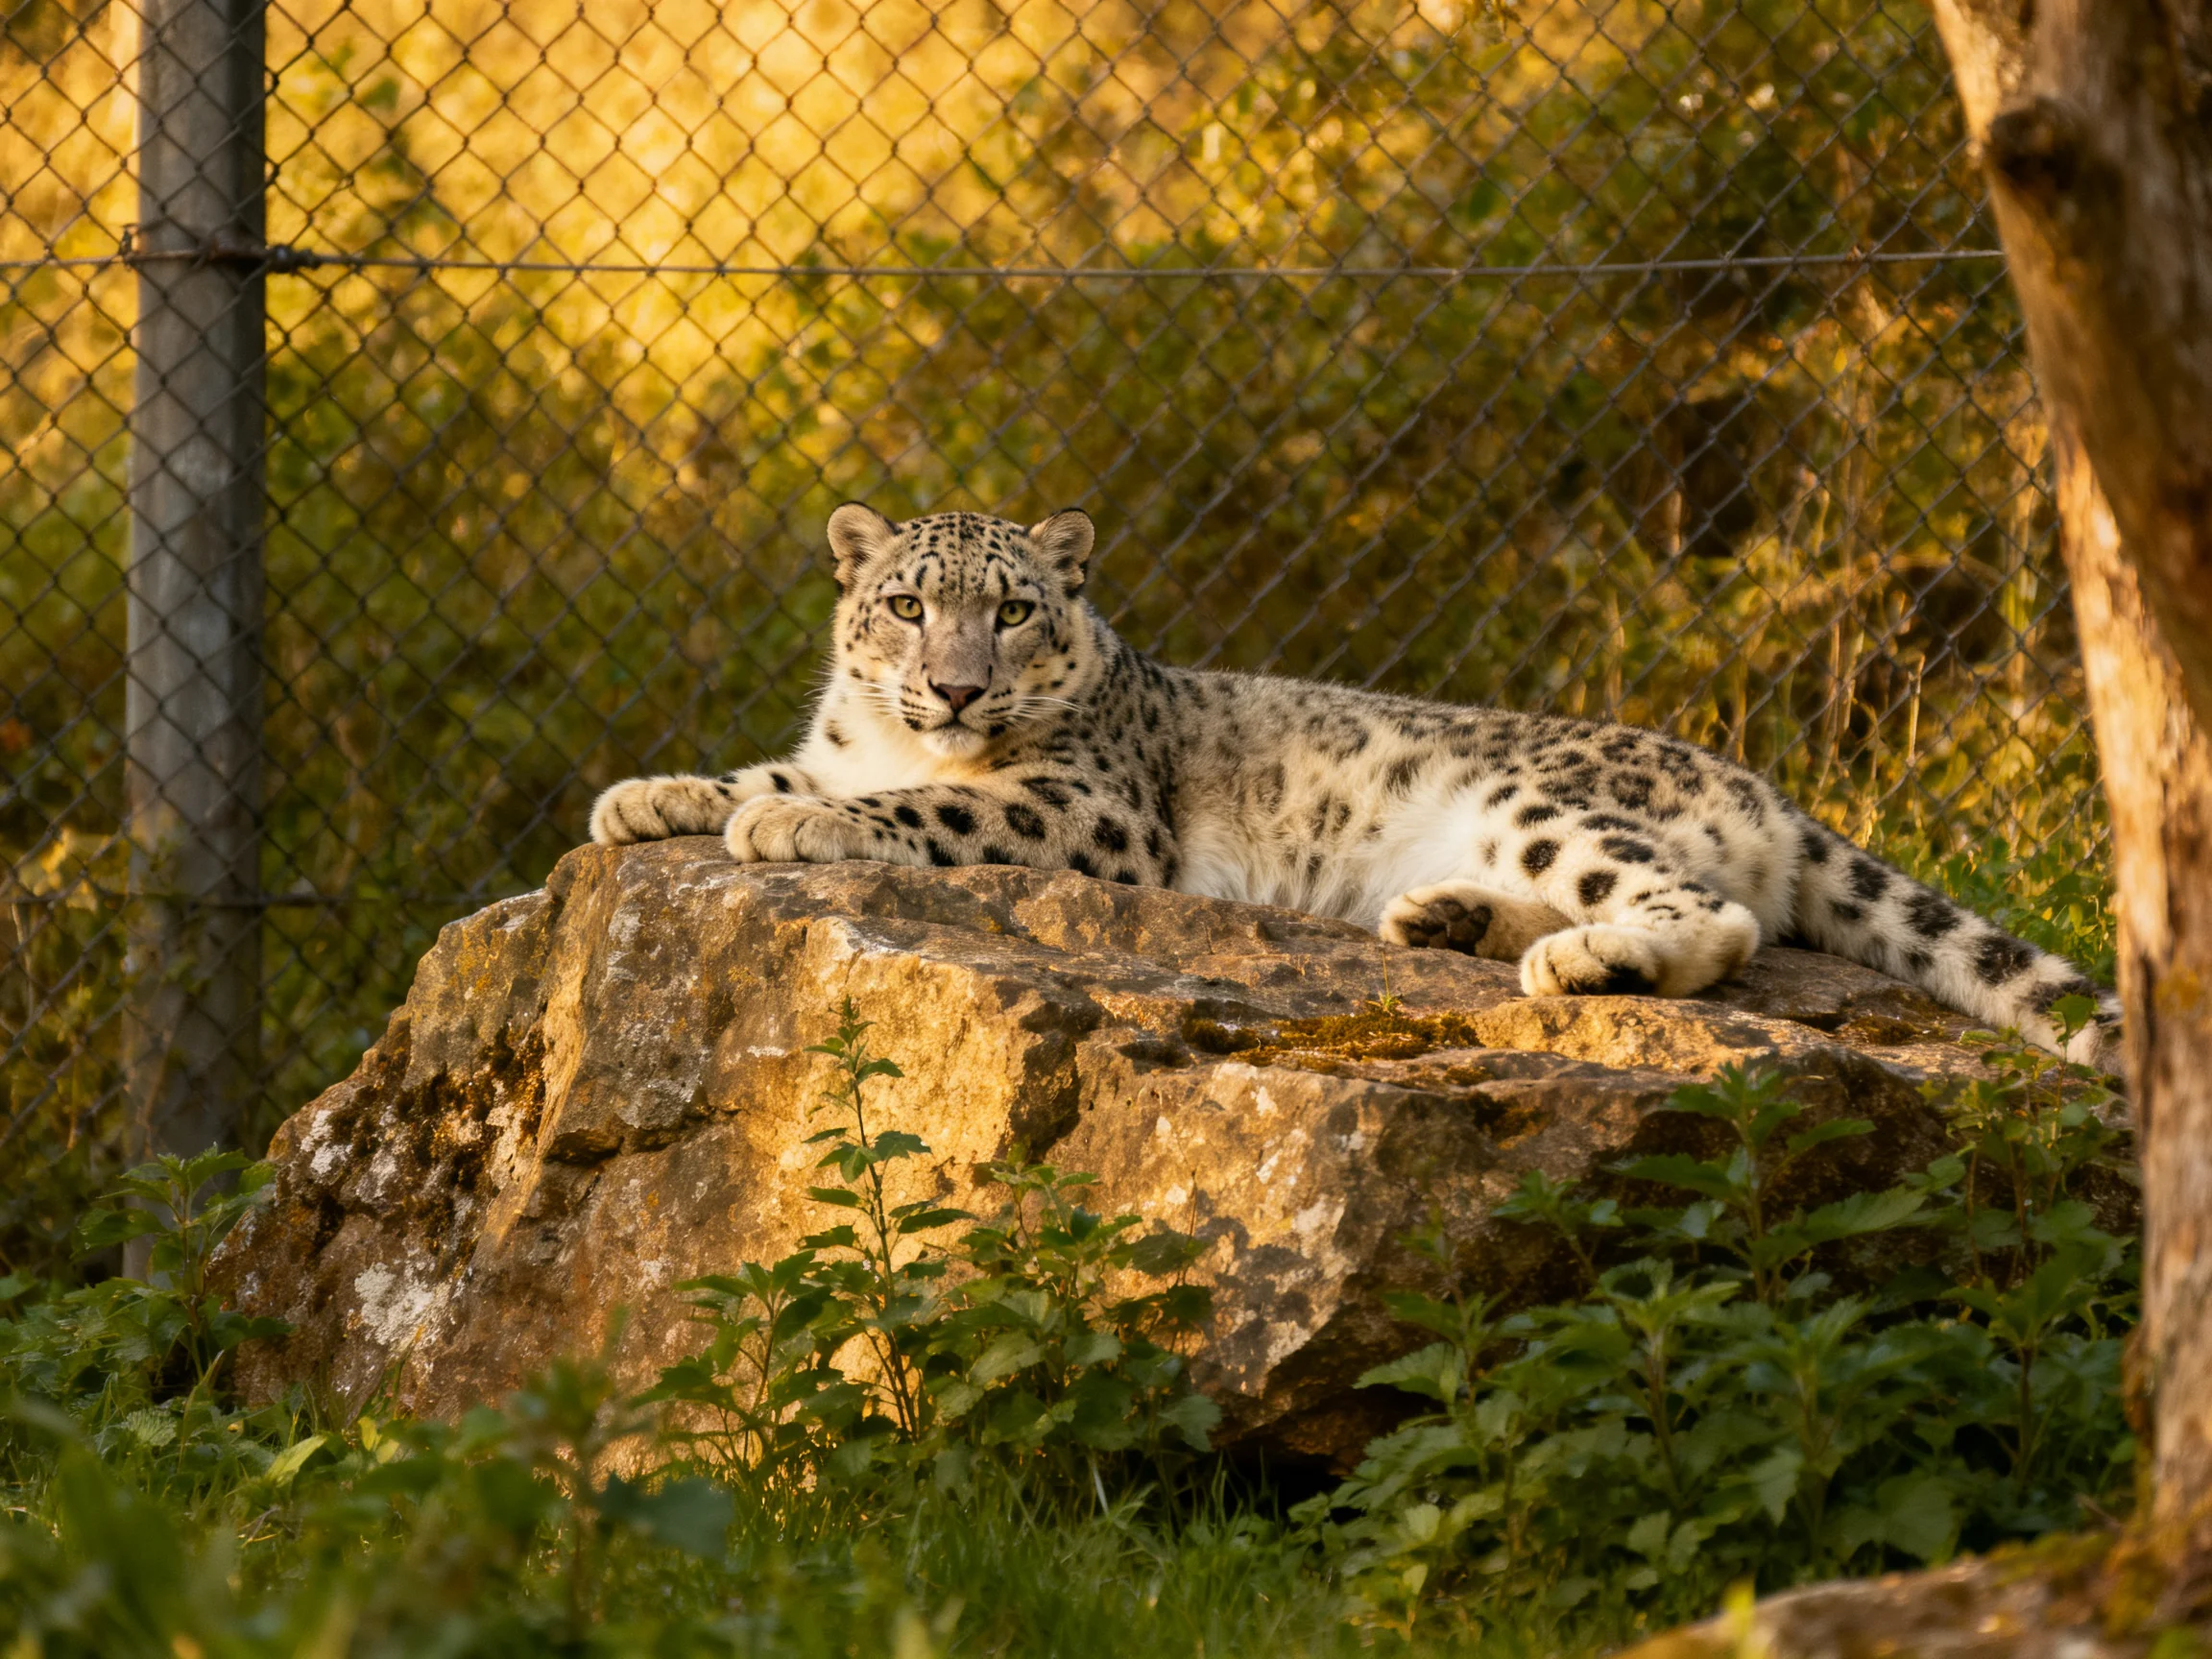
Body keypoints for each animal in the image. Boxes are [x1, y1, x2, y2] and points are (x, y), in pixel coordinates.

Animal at [589, 504, 2123, 1070]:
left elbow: (924, 808)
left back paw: (1575, 962)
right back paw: (1448, 923)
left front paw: (786, 820)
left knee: (1714, 917)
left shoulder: (1086, 808)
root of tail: (1763, 785)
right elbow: (773, 762)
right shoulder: (852, 736)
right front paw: (647, 795)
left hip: (1551, 806)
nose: (959, 689)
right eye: (907, 604)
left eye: (1013, 611)